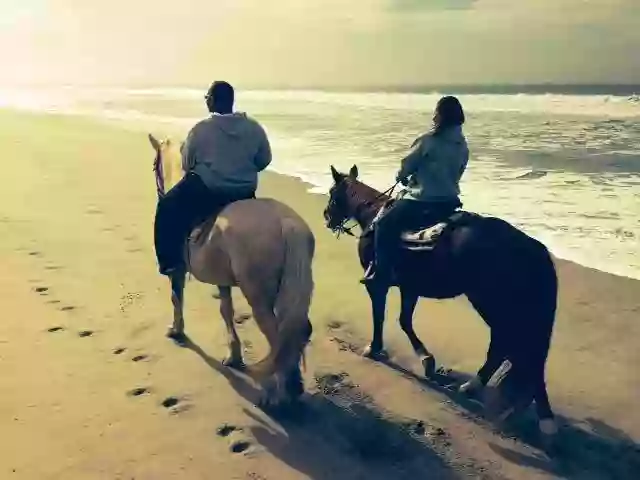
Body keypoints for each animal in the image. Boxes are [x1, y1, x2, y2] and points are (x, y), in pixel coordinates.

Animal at [146, 133, 316, 406]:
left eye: (154, 165)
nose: (159, 191)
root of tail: (286, 223)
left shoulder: (178, 271)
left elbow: (176, 297)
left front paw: (177, 330)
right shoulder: (223, 280)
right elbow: (226, 310)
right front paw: (234, 356)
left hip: (259, 299)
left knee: (278, 337)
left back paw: (279, 395)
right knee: (295, 331)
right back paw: (293, 386)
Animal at [322, 167, 556, 440]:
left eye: (332, 193)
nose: (327, 217)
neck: (373, 214)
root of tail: (533, 248)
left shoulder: (378, 285)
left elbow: (380, 316)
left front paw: (374, 348)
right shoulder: (409, 287)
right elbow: (405, 320)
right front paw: (426, 359)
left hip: (494, 304)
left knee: (508, 346)